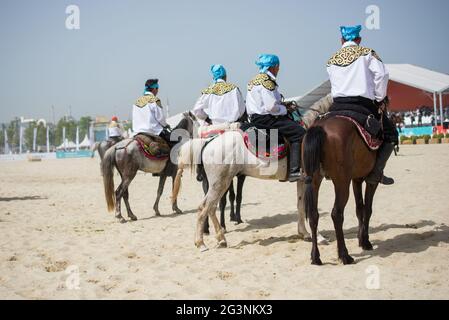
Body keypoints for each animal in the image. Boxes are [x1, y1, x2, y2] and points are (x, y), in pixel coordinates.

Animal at [172, 94, 332, 251]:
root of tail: (209, 142)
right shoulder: (313, 179)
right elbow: (310, 208)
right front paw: (319, 237)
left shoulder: (301, 180)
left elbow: (301, 205)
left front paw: (304, 233)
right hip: (220, 183)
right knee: (204, 207)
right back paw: (201, 243)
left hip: (220, 183)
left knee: (211, 207)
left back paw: (221, 239)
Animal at [302, 112, 380, 264]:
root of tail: (320, 127)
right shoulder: (371, 181)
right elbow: (368, 209)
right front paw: (366, 242)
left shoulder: (356, 179)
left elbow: (360, 209)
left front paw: (361, 239)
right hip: (341, 182)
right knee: (336, 214)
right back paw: (344, 255)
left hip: (314, 181)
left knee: (313, 215)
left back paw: (315, 257)